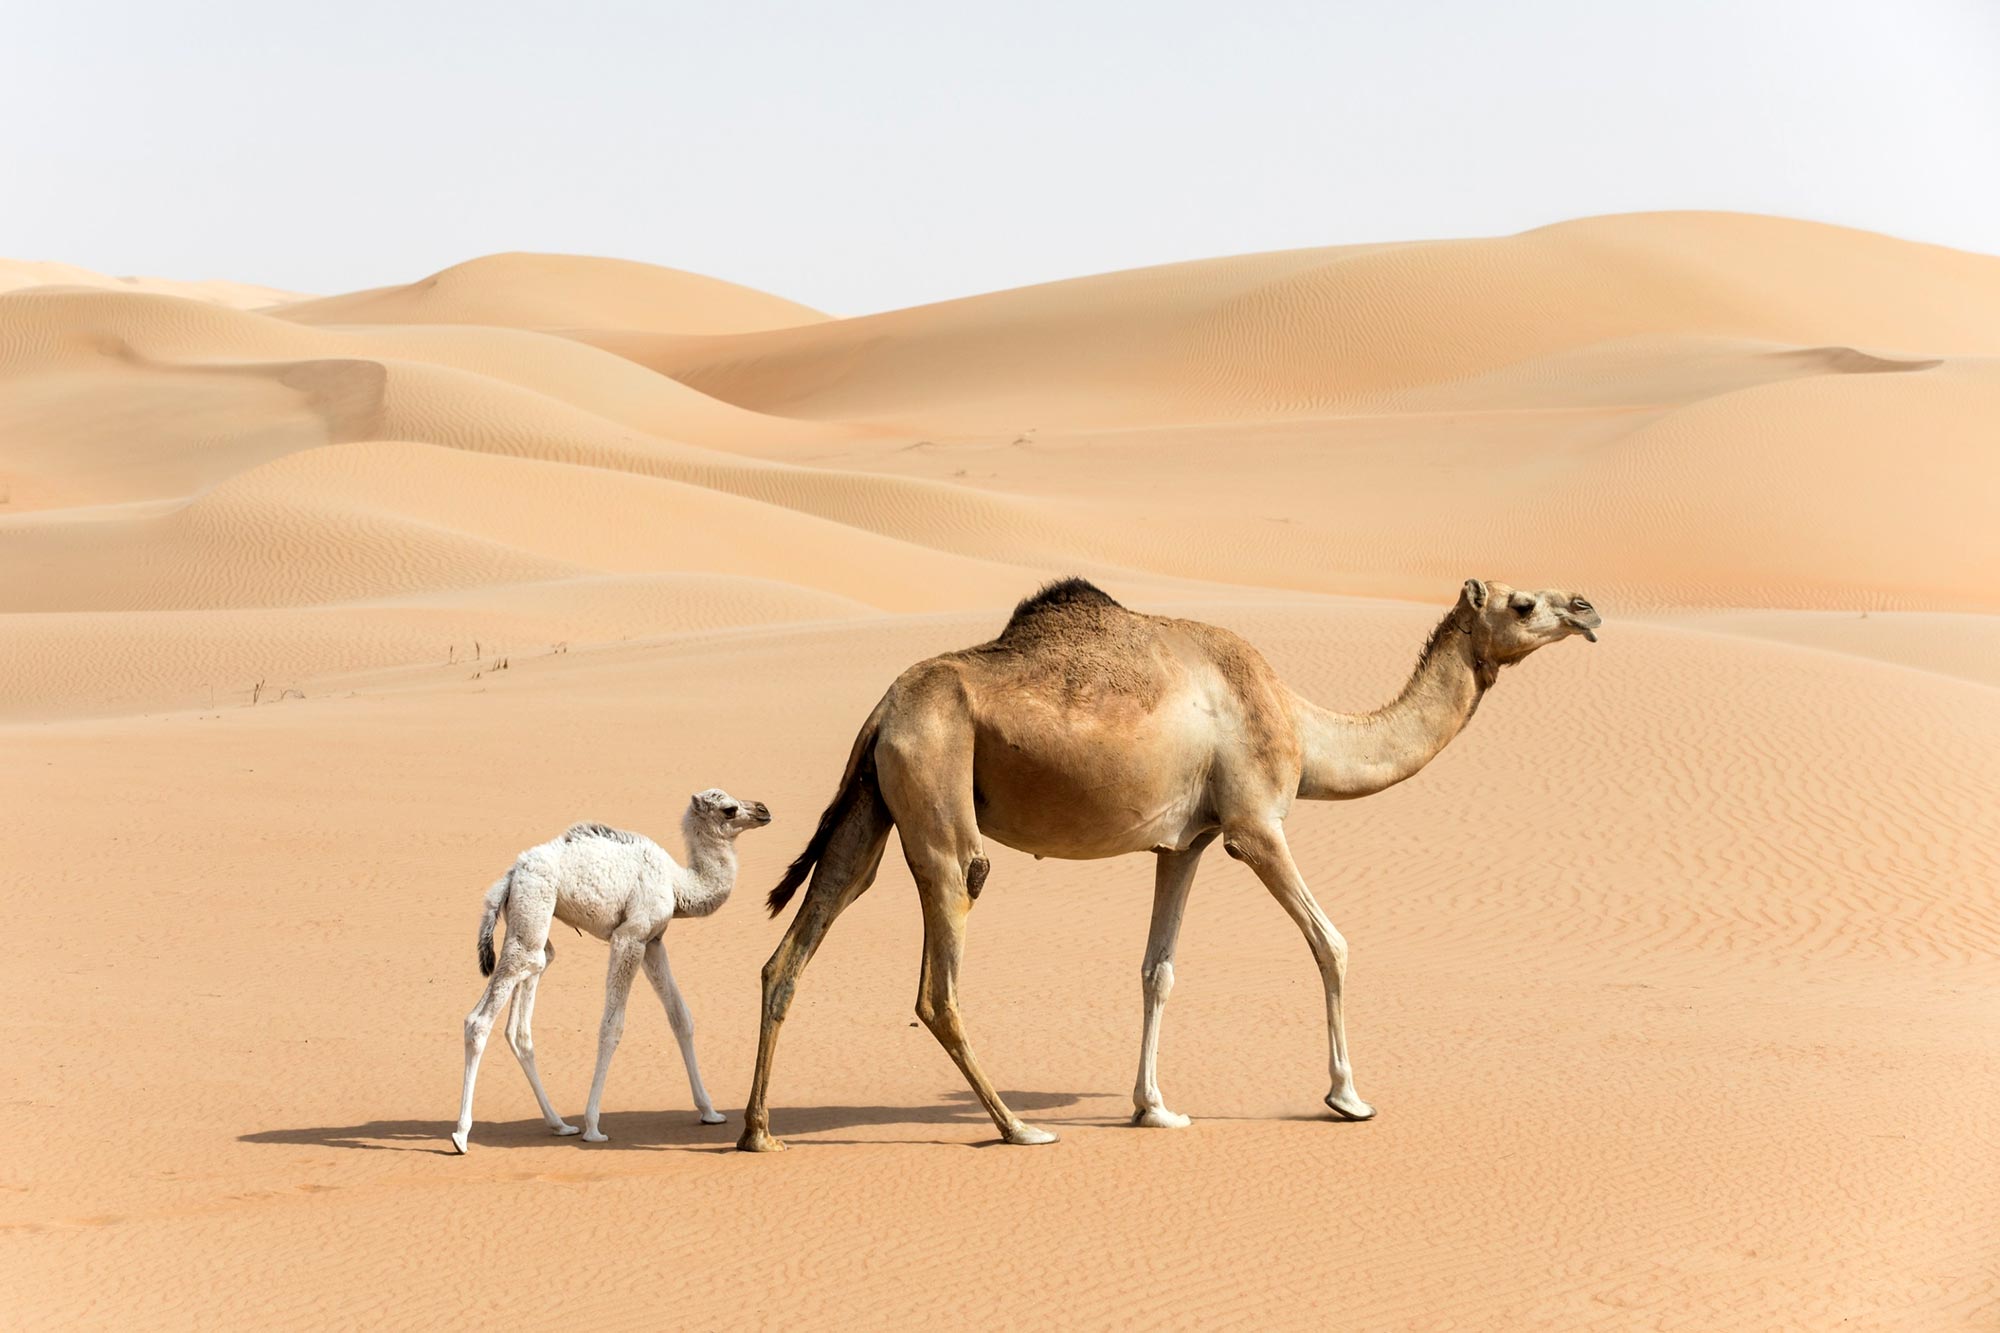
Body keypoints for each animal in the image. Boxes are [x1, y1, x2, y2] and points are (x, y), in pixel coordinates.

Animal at [450, 789, 771, 1154]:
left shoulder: (654, 941)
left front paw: (710, 1112)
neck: (678, 885)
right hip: (534, 905)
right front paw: (593, 1126)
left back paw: (559, 1125)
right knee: (480, 1020)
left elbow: (680, 1017)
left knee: (522, 1014)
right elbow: (612, 1026)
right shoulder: (629, 936)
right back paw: (461, 1135)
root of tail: (511, 875)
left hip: (531, 926)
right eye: (729, 809)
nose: (763, 810)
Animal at [738, 578, 1599, 1151]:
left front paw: (1153, 1107)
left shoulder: (1184, 842)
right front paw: (1348, 1096)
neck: (1300, 723)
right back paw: (1019, 1127)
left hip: (871, 805)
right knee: (940, 975)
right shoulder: (1255, 824)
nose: (1588, 610)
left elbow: (1158, 969)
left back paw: (758, 1131)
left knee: (795, 947)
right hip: (940, 797)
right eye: (1524, 603)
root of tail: (885, 707)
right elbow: (1332, 941)